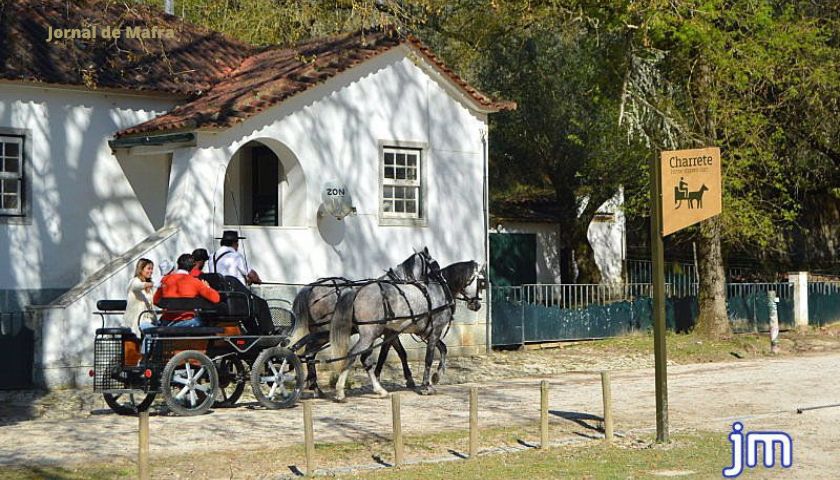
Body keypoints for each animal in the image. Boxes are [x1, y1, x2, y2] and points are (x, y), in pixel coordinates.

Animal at [330, 258, 482, 402]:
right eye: (481, 282)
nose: (477, 305)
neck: (440, 290)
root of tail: (357, 291)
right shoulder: (435, 330)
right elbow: (429, 358)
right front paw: (426, 386)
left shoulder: (418, 332)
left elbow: (442, 349)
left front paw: (435, 377)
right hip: (369, 335)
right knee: (353, 355)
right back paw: (340, 392)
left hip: (370, 335)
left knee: (364, 359)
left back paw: (379, 390)